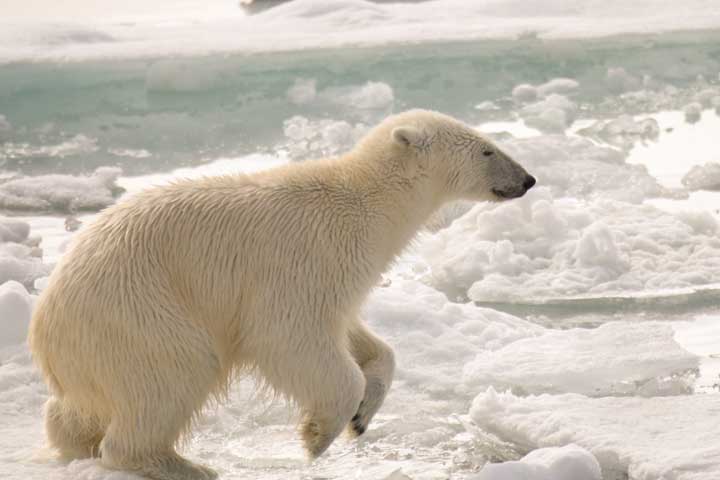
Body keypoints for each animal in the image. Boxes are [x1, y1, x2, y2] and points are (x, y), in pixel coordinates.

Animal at [28, 109, 535, 480]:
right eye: (487, 148)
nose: (528, 179)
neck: (364, 204)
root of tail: (46, 327)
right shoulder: (303, 259)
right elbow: (290, 336)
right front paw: (319, 434)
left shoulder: (336, 275)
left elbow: (357, 335)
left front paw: (362, 416)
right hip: (140, 311)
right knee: (174, 373)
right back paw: (181, 464)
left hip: (96, 348)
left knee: (84, 404)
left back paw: (78, 439)